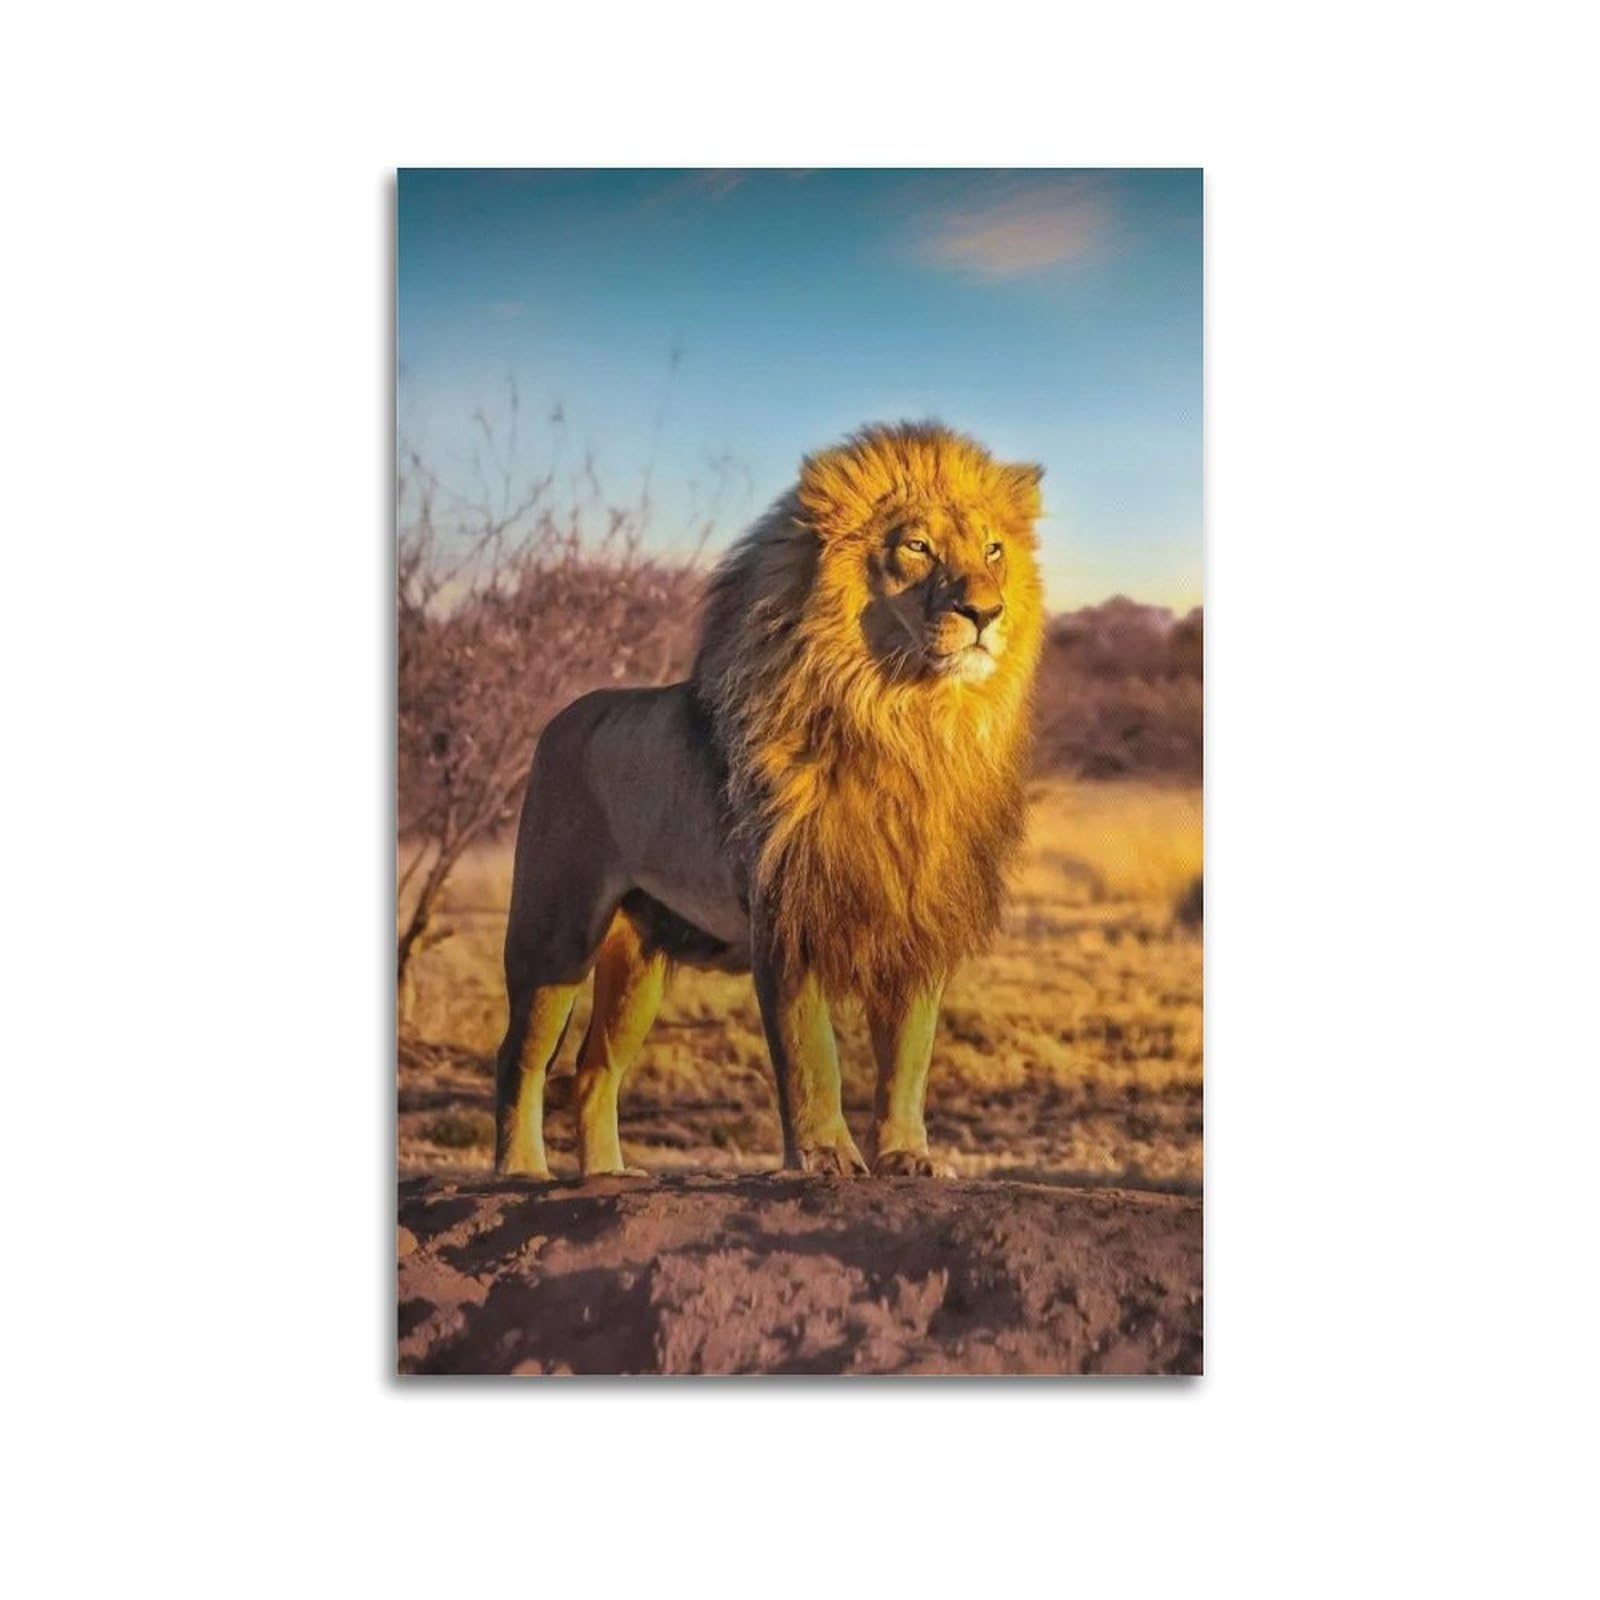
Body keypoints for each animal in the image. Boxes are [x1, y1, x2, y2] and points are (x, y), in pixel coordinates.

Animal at [494, 422, 1045, 1180]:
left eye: (994, 550)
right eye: (917, 547)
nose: (987, 611)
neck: (907, 723)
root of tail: (563, 716)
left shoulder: (917, 915)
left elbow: (909, 1055)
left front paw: (907, 1156)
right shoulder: (787, 912)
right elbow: (812, 1054)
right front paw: (825, 1157)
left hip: (639, 956)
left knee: (593, 1069)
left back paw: (607, 1175)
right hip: (556, 929)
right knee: (520, 1056)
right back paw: (521, 1170)